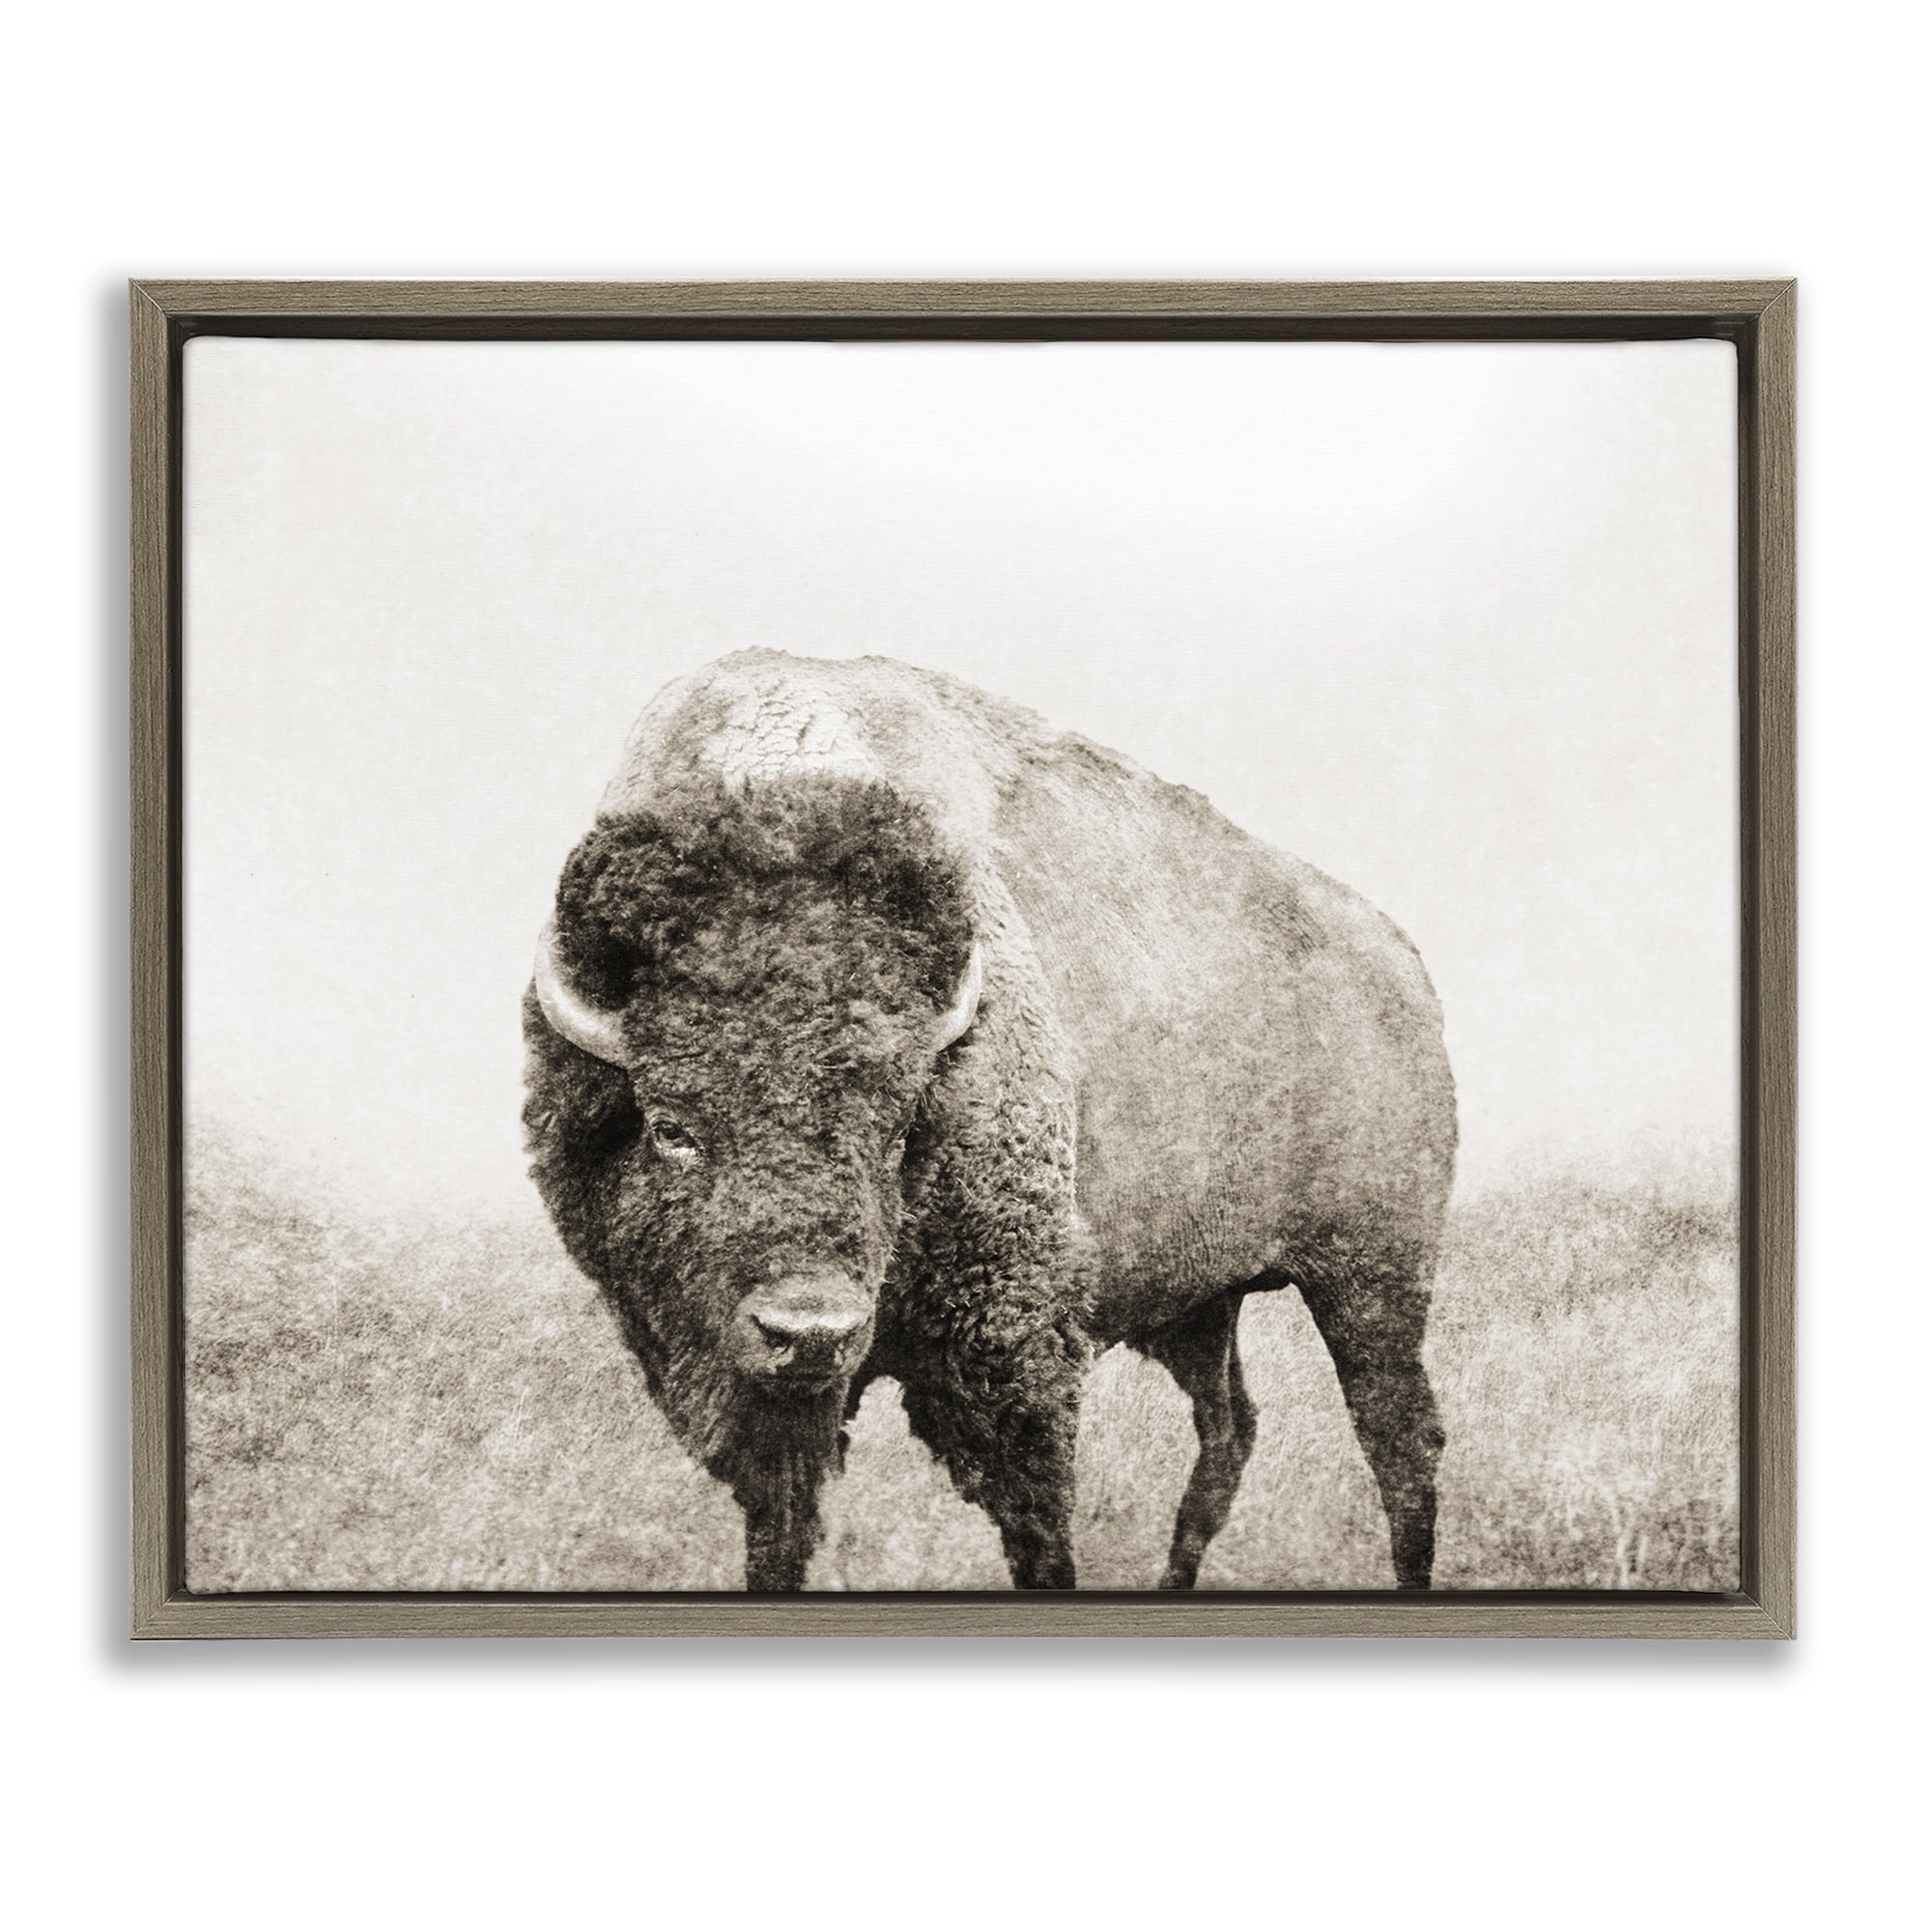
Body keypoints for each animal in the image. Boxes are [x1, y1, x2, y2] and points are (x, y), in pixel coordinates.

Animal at [524, 650, 1455, 1591]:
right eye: (671, 1127)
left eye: (898, 1128)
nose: (811, 1332)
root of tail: (1402, 959)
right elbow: (778, 1531)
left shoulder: (1012, 1350)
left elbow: (1038, 1525)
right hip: (1205, 1302)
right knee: (1230, 1428)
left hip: (1371, 1277)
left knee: (1400, 1438)